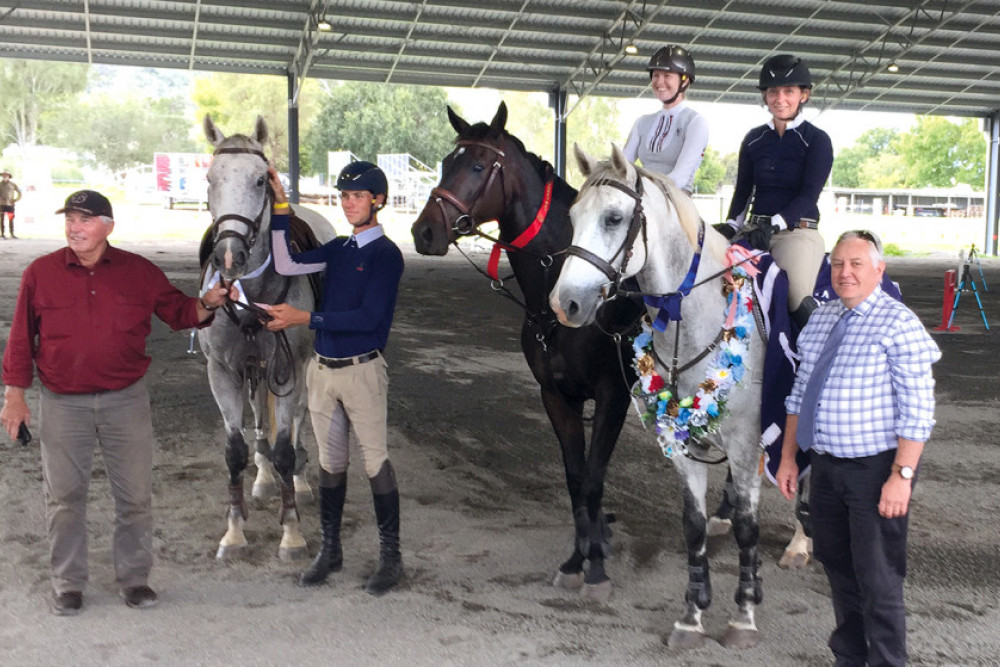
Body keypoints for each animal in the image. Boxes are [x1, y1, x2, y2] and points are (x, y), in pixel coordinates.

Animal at [410, 102, 644, 604]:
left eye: (479, 166)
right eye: (446, 162)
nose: (424, 232)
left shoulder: (613, 395)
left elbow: (593, 478)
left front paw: (596, 570)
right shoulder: (556, 396)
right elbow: (576, 479)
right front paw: (578, 559)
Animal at [556, 144, 764, 648]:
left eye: (613, 217)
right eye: (572, 215)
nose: (565, 303)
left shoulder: (745, 444)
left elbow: (748, 527)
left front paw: (743, 615)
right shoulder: (684, 445)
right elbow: (693, 525)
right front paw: (692, 614)